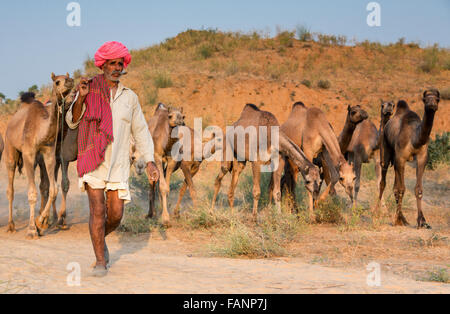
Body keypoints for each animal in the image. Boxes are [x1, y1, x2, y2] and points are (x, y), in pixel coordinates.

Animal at [4, 72, 74, 237]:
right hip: (10, 147)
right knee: (10, 188)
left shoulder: (49, 154)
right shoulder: (28, 153)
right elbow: (32, 193)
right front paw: (31, 229)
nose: (70, 81)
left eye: (68, 77)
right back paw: (11, 226)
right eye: (57, 82)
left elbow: (53, 189)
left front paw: (40, 223)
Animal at [376, 90, 440, 228]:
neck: (414, 138)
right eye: (425, 99)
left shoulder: (422, 158)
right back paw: (376, 212)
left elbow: (418, 189)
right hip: (385, 148)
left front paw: (422, 221)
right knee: (383, 179)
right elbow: (401, 189)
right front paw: (398, 219)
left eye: (437, 99)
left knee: (395, 185)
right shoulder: (401, 157)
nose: (432, 104)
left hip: (396, 160)